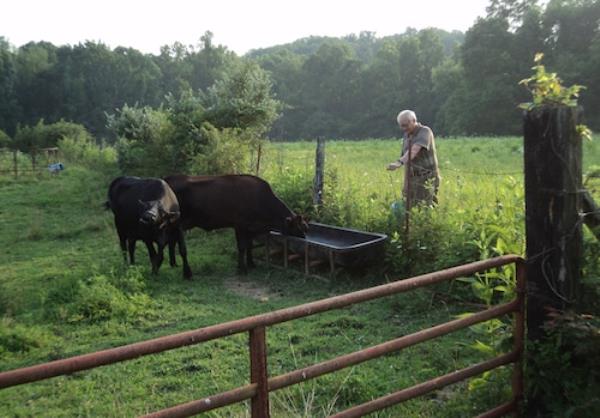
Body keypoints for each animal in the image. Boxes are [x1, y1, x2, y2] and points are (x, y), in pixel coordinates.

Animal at [164, 174, 308, 274]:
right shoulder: (240, 225)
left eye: (305, 227)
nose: (304, 239)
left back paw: (173, 263)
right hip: (179, 223)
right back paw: (186, 271)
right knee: (178, 245)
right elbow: (242, 247)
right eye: (299, 227)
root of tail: (168, 179)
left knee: (171, 241)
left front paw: (251, 264)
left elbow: (249, 246)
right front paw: (242, 269)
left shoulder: (250, 228)